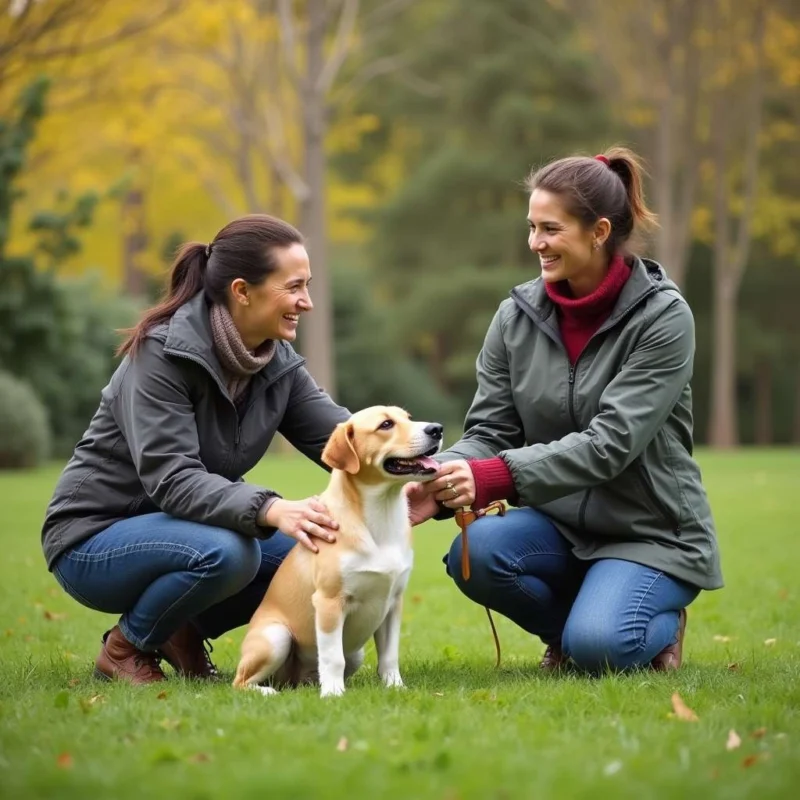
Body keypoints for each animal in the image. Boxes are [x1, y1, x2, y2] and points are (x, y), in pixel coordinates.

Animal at [231, 406, 444, 692]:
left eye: (408, 418)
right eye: (386, 425)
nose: (436, 429)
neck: (381, 516)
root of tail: (291, 680)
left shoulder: (393, 602)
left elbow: (389, 656)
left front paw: (395, 688)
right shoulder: (329, 603)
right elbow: (332, 657)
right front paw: (333, 693)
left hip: (355, 653)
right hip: (276, 637)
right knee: (241, 681)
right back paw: (268, 692)